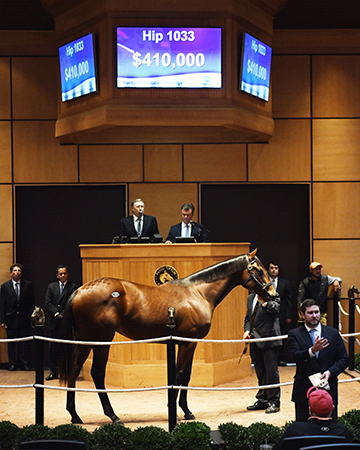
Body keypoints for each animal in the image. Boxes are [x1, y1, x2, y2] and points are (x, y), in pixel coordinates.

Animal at [59, 250, 278, 426]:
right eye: (258, 270)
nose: (274, 295)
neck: (198, 293)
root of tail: (79, 290)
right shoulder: (188, 342)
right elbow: (180, 374)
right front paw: (177, 413)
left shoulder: (188, 343)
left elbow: (186, 374)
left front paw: (186, 411)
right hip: (101, 340)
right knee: (97, 373)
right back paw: (113, 416)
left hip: (85, 340)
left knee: (74, 369)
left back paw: (75, 415)